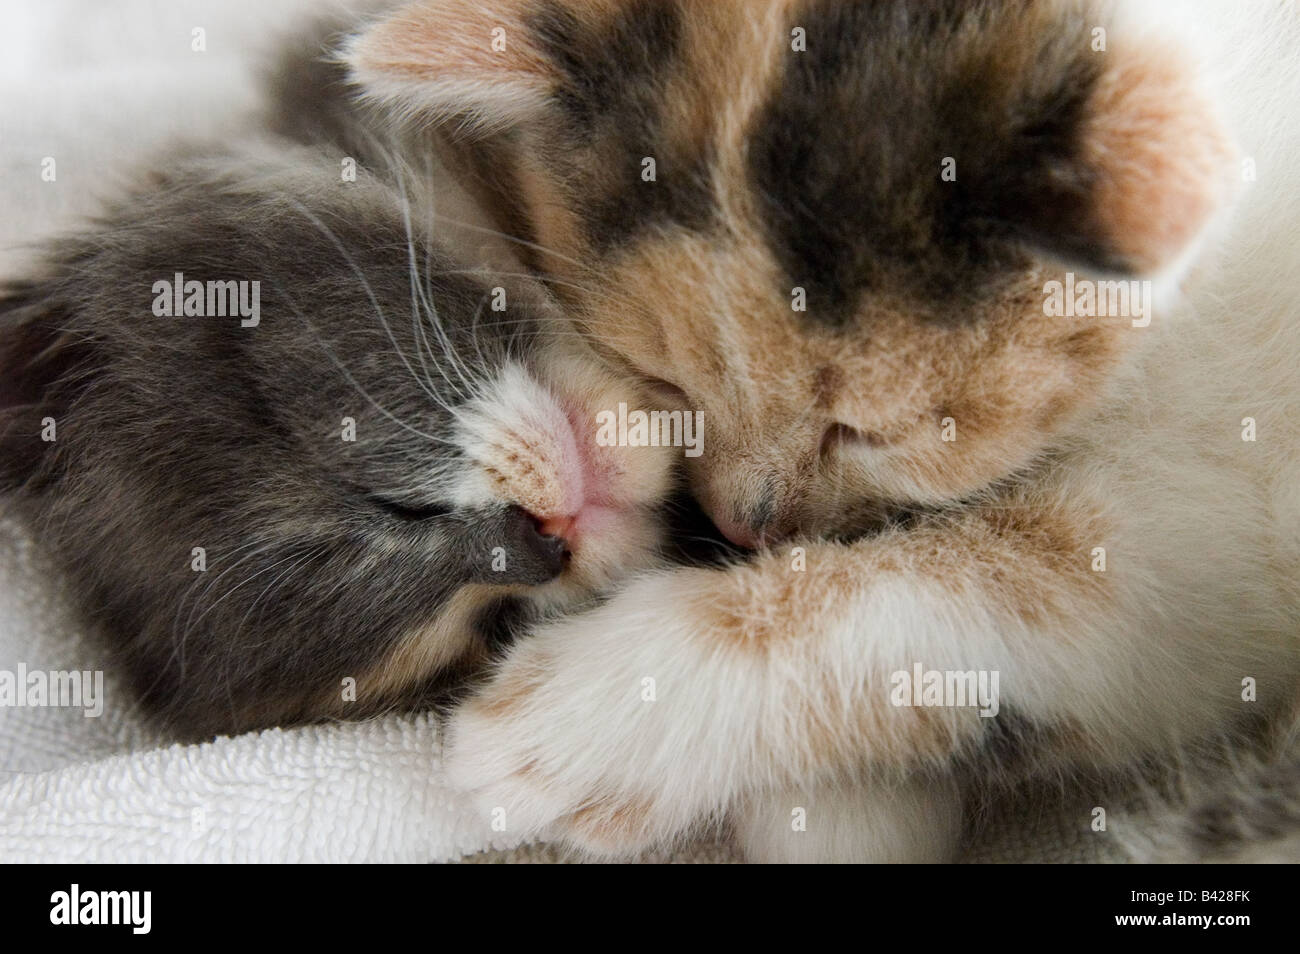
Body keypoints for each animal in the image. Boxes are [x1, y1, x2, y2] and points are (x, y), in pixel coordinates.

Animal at [345, 0, 1300, 868]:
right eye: (662, 380)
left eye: (865, 431)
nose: (743, 525)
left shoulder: (1205, 537)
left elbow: (1021, 575)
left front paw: (593, 717)